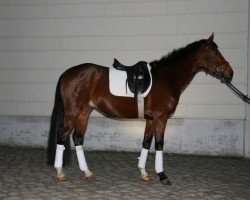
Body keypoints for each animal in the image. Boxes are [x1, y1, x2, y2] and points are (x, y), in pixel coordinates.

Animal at [47, 34, 233, 184]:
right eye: (215, 52)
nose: (230, 73)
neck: (167, 78)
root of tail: (66, 74)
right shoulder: (160, 118)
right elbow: (159, 144)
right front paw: (162, 176)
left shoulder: (151, 119)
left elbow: (146, 142)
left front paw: (144, 173)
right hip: (72, 112)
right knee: (62, 136)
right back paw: (60, 172)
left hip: (84, 113)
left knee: (78, 138)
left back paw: (87, 172)